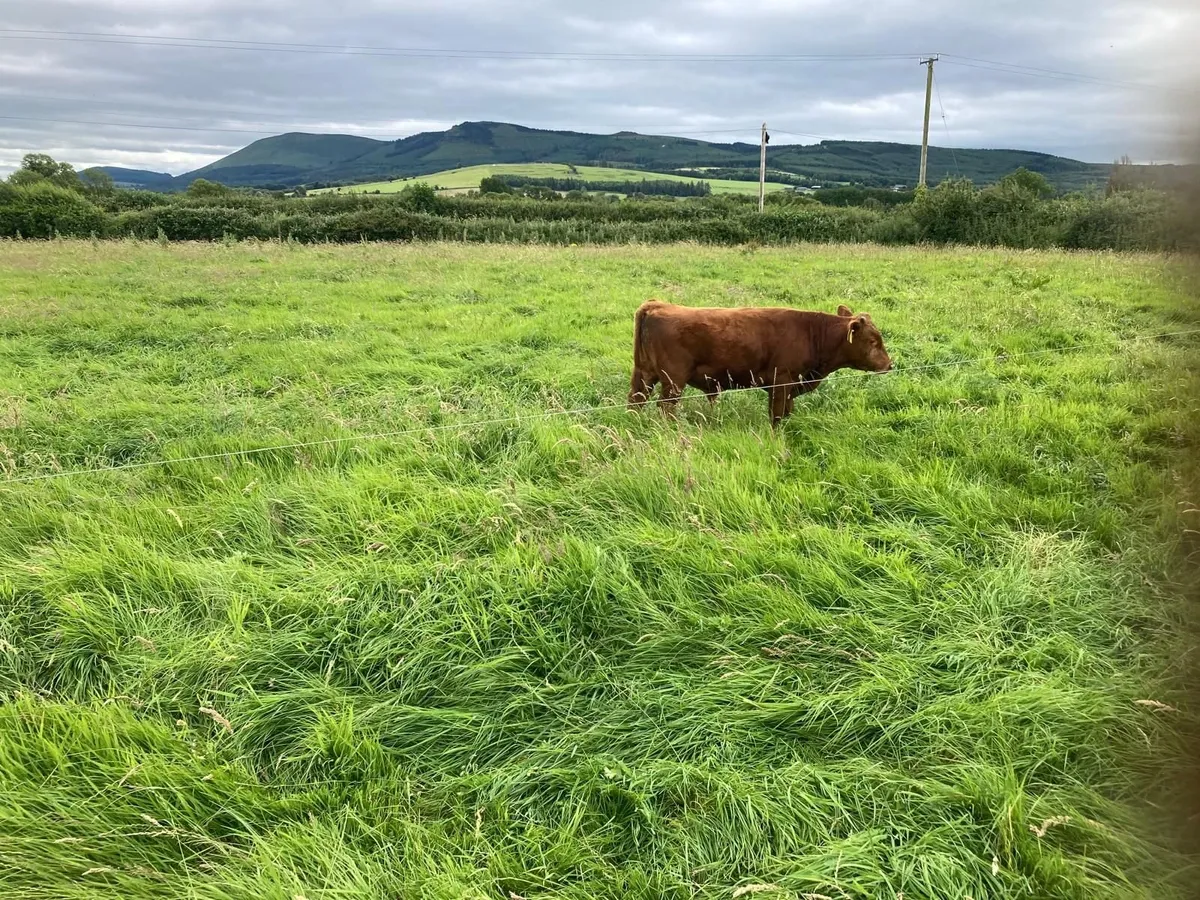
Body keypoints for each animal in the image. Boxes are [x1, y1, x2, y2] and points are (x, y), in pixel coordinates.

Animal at [626, 300, 892, 427]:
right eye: (872, 340)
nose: (889, 365)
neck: (812, 333)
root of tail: (656, 305)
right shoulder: (781, 382)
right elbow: (777, 415)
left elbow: (787, 412)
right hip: (673, 381)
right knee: (665, 408)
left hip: (644, 375)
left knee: (636, 402)